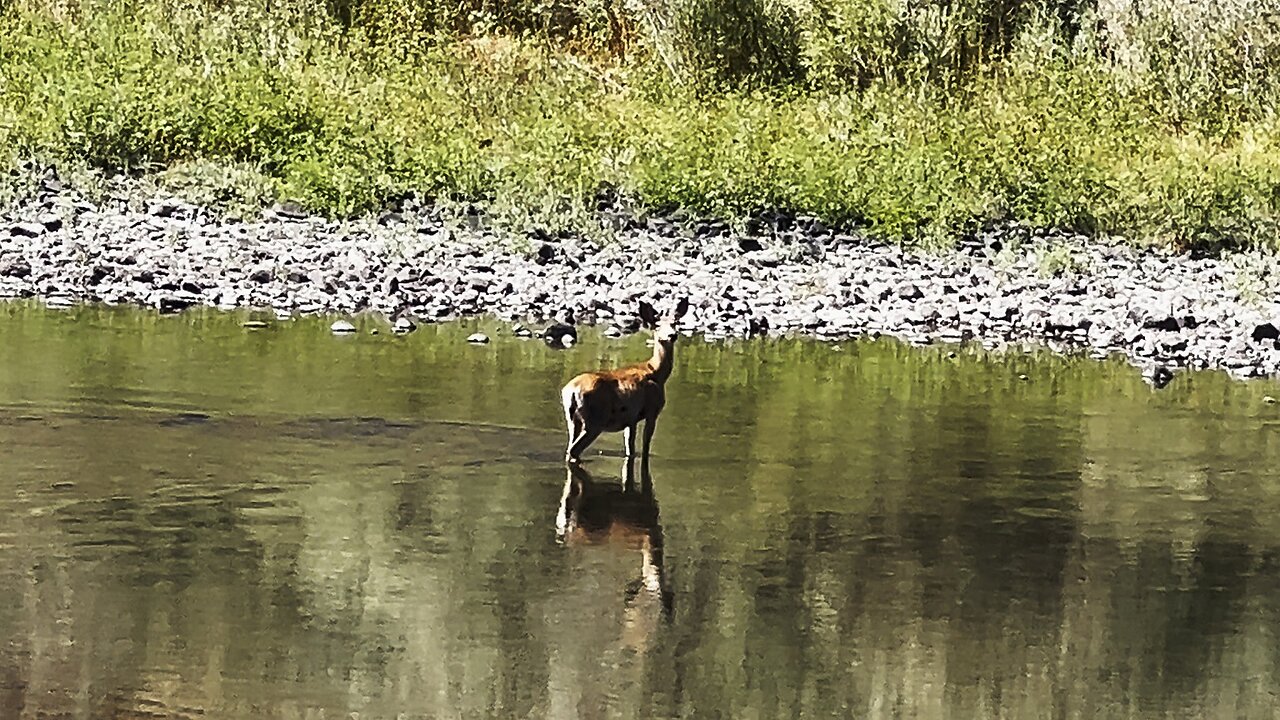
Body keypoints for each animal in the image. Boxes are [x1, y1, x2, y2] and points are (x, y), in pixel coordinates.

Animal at [560, 298, 689, 464]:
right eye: (657, 325)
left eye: (676, 322)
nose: (672, 335)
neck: (656, 372)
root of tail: (571, 391)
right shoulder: (652, 410)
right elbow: (645, 446)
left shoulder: (630, 419)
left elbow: (630, 448)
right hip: (595, 420)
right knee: (574, 450)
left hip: (572, 418)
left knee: (570, 447)